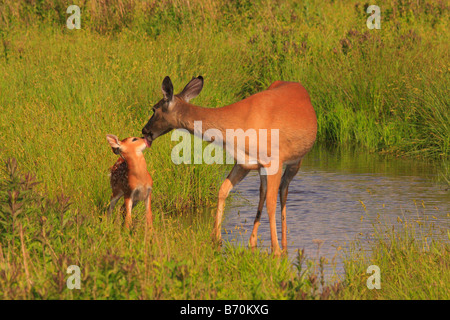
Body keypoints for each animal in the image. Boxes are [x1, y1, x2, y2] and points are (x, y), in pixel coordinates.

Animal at [142, 76, 316, 256]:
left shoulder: (274, 161)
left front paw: (275, 251)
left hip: (296, 161)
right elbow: (223, 190)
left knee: (283, 190)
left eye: (154, 109)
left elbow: (271, 204)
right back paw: (252, 241)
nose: (144, 130)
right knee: (263, 192)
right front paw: (216, 239)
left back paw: (283, 245)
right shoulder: (243, 162)